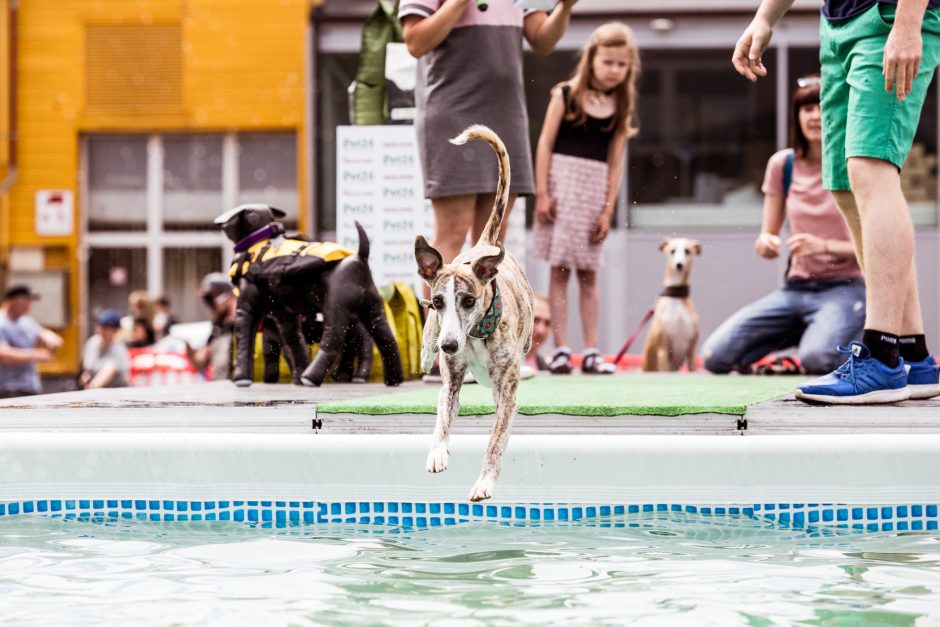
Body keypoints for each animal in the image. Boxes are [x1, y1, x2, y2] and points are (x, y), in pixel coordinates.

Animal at [215, 204, 402, 388]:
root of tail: (360, 257)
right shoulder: (284, 318)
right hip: (372, 310)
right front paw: (296, 377)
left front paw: (242, 378)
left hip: (336, 308)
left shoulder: (246, 311)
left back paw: (313, 377)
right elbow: (294, 345)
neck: (260, 241)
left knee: (338, 341)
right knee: (385, 339)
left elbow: (244, 342)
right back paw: (392, 379)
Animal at [414, 125, 532, 502]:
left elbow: (495, 441)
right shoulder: (450, 382)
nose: (449, 345)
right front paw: (437, 452)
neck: (477, 334)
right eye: (438, 302)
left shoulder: (507, 394)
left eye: (468, 301)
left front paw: (484, 483)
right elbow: (442, 417)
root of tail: (485, 245)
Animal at [644, 238, 700, 370]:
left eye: (687, 251)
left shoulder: (691, 352)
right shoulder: (663, 351)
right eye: (672, 251)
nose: (679, 265)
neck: (676, 298)